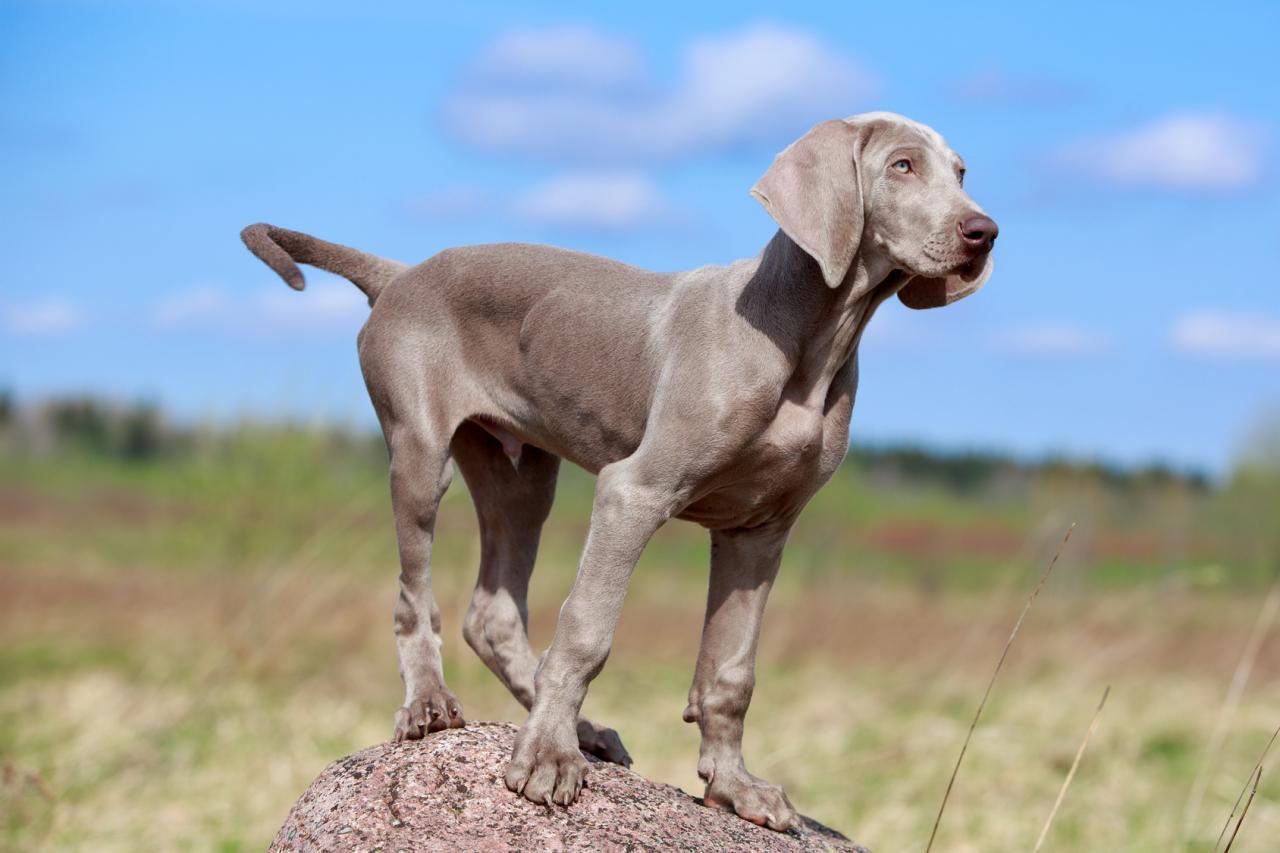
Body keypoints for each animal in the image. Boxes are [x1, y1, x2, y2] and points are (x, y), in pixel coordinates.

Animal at [241, 109, 998, 824]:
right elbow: (586, 631)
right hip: (421, 452)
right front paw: (547, 760)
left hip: (522, 473)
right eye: (902, 165)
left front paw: (735, 787)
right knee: (414, 593)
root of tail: (400, 274)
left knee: (492, 612)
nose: (983, 232)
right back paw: (434, 704)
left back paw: (580, 728)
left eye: (962, 171)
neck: (812, 335)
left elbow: (731, 673)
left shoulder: (760, 528)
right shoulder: (633, 492)